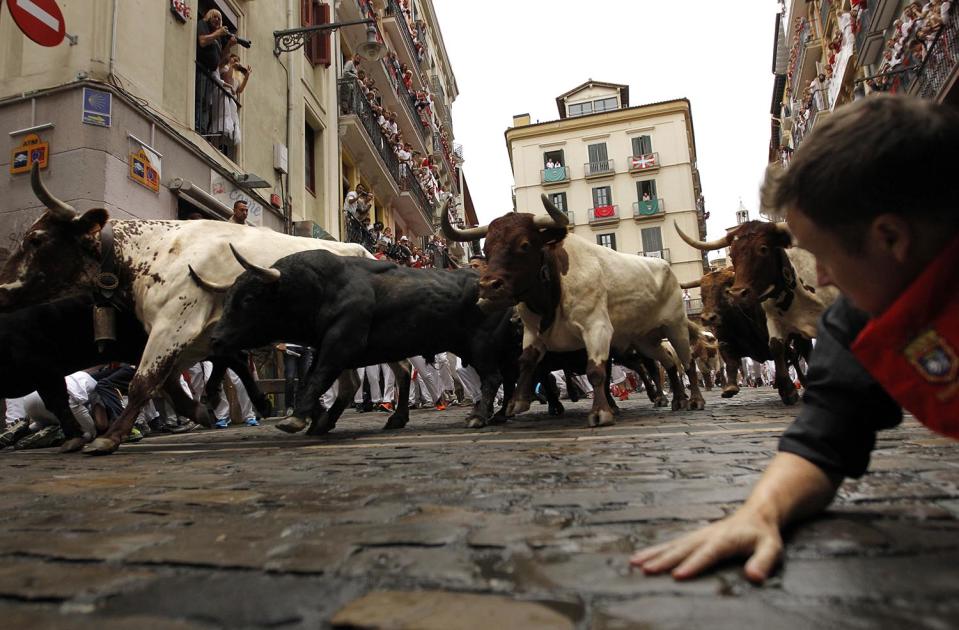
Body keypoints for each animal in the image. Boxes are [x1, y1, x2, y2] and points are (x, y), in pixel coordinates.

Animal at [0, 165, 374, 456]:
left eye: (36, 239)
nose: (1, 289)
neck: (155, 251)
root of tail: (359, 250)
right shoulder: (185, 338)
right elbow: (169, 386)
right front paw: (201, 410)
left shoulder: (173, 324)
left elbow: (142, 383)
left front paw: (108, 438)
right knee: (347, 381)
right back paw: (319, 421)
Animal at [202, 251, 516, 434]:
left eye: (248, 299)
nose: (215, 339)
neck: (322, 288)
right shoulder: (328, 346)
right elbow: (321, 382)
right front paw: (321, 421)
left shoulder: (340, 344)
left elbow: (318, 379)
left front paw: (297, 419)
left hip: (482, 345)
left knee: (493, 378)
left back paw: (479, 416)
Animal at [444, 195, 704, 428]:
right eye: (486, 248)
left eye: (524, 245)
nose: (488, 286)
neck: (553, 286)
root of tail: (664, 266)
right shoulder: (532, 333)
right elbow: (527, 362)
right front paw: (517, 402)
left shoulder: (596, 328)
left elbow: (595, 371)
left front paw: (601, 412)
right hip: (644, 339)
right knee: (667, 361)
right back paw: (678, 399)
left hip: (675, 327)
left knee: (687, 361)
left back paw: (694, 400)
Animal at [672, 220, 836, 402]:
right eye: (702, 295)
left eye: (725, 291)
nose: (708, 318)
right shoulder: (728, 339)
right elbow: (736, 360)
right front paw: (731, 387)